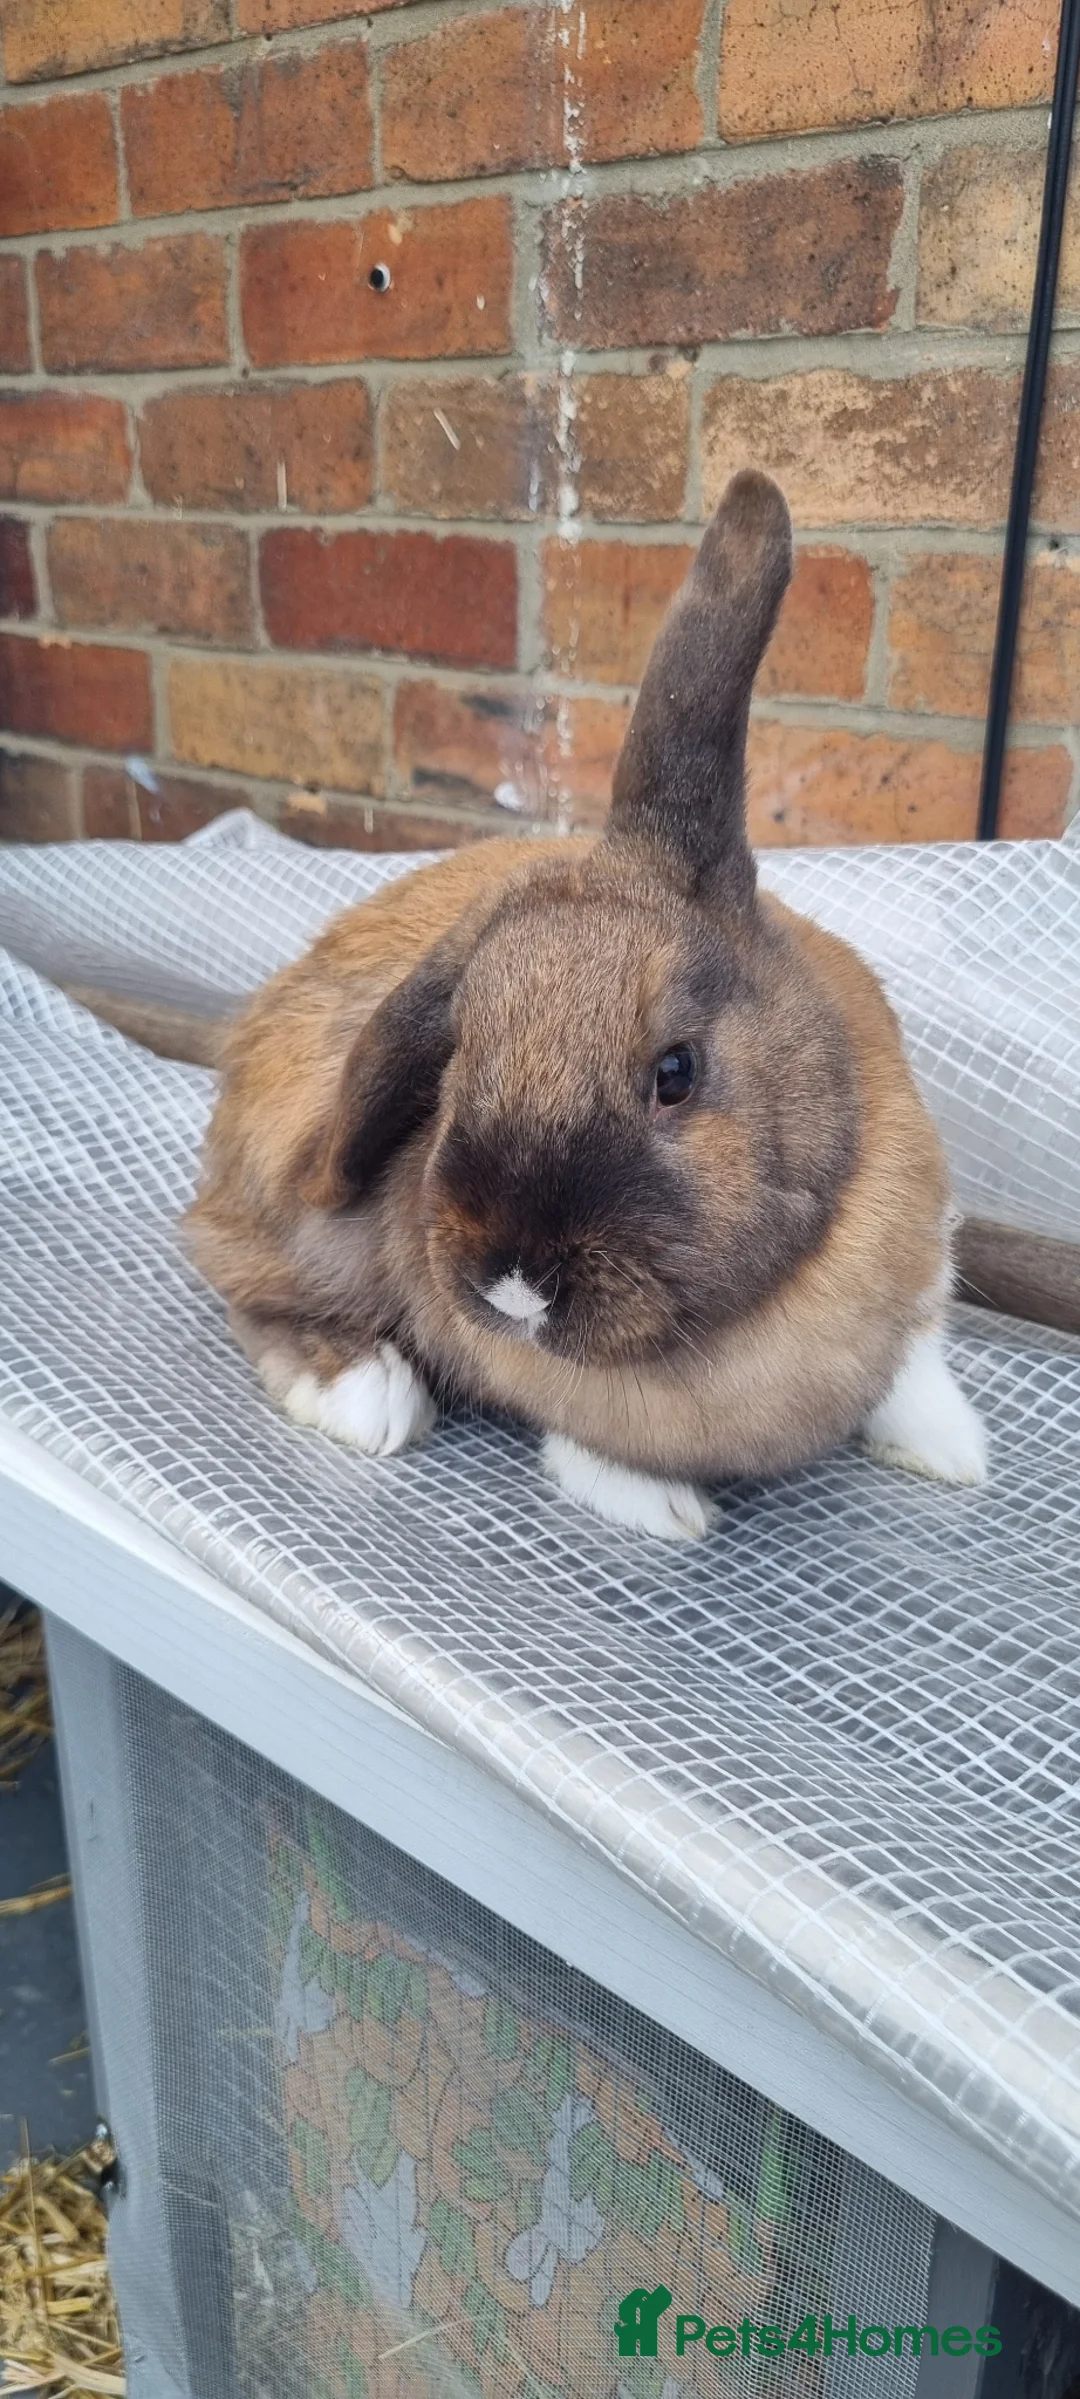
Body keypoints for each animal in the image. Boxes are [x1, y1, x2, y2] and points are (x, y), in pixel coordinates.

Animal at [184, 470, 987, 1541]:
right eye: (454, 1066)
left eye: (675, 1071)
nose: (515, 1282)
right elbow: (590, 1442)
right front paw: (665, 1509)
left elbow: (914, 1372)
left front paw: (957, 1453)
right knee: (246, 1289)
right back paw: (367, 1394)